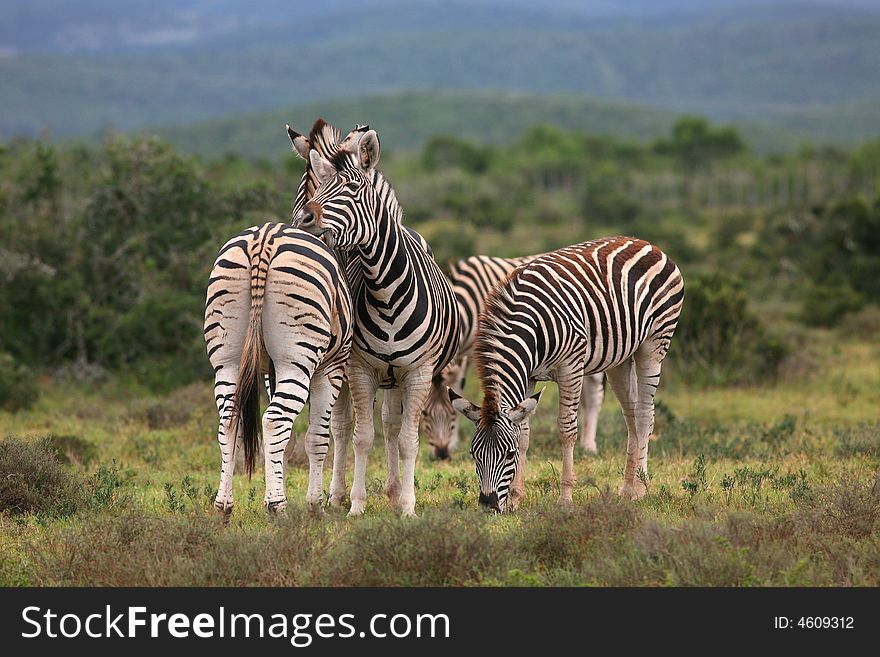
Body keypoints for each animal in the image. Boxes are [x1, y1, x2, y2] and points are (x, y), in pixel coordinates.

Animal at [206, 220, 354, 512]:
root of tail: (263, 238)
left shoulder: (270, 373)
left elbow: (288, 442)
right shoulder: (330, 369)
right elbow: (318, 438)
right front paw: (314, 505)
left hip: (226, 360)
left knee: (229, 421)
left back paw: (224, 505)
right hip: (296, 360)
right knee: (275, 421)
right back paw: (278, 508)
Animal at [294, 127, 464, 516]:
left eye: (353, 188)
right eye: (322, 186)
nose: (303, 220)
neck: (385, 291)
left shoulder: (418, 372)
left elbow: (407, 440)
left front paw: (407, 506)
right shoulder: (360, 370)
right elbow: (361, 437)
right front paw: (356, 504)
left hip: (396, 377)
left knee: (391, 424)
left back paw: (393, 490)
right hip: (345, 368)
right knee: (341, 426)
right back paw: (336, 495)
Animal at [450, 236, 684, 512]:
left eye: (508, 454)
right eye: (473, 454)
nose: (488, 504)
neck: (531, 326)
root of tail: (643, 242)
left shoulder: (570, 367)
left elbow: (566, 429)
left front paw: (565, 498)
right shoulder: (529, 376)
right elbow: (524, 434)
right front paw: (516, 498)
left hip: (655, 343)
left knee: (646, 414)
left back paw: (640, 489)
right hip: (621, 358)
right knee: (632, 415)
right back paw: (627, 488)